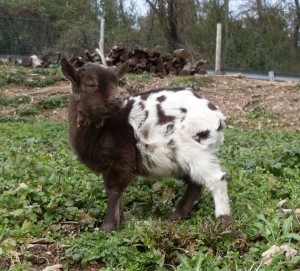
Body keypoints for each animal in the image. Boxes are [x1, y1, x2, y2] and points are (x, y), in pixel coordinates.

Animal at [60, 58, 230, 233]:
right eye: (91, 84)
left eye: (117, 82)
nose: (117, 99)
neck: (104, 127)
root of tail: (218, 118)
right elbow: (114, 192)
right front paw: (120, 219)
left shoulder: (122, 158)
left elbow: (114, 190)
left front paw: (107, 226)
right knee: (195, 183)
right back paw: (176, 217)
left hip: (194, 149)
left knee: (216, 179)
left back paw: (222, 221)